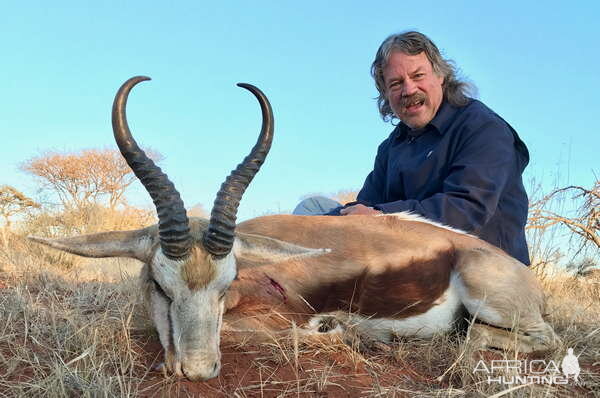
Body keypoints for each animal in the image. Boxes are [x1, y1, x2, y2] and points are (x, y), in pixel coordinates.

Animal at [30, 76, 556, 380]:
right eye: (159, 286)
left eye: (225, 286)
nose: (198, 371)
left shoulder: (278, 320)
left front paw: (336, 330)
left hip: (492, 302)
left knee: (523, 339)